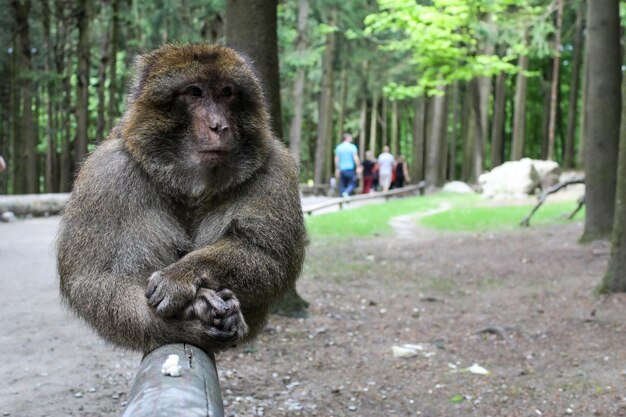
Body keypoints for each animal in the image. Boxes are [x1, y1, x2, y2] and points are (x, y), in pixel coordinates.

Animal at [57, 44, 306, 352]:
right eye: (195, 92)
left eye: (226, 92)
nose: (219, 126)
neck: (190, 184)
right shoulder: (106, 175)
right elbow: (96, 280)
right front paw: (192, 315)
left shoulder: (275, 170)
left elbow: (271, 256)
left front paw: (181, 276)